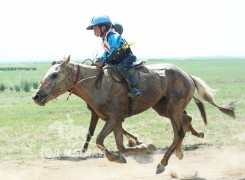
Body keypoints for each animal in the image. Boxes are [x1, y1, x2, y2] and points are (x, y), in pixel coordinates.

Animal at [31, 55, 234, 174]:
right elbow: (120, 146)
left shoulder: (113, 118)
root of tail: (188, 76)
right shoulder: (114, 120)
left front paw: (135, 150)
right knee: (186, 121)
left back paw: (162, 163)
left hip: (173, 107)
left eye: (54, 75)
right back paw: (179, 151)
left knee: (178, 133)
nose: (36, 96)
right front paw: (142, 147)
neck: (97, 85)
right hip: (163, 109)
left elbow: (99, 140)